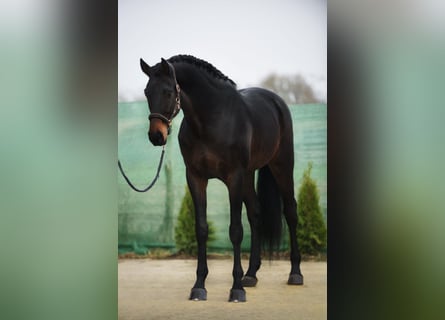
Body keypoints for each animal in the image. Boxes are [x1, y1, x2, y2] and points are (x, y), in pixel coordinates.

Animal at [140, 55, 304, 302]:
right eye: (147, 92)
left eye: (168, 92)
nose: (156, 136)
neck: (211, 119)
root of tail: (276, 101)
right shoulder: (196, 177)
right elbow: (201, 229)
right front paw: (199, 286)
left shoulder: (234, 177)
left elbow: (235, 230)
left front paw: (236, 289)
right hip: (249, 175)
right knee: (256, 213)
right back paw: (251, 274)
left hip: (281, 165)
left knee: (291, 212)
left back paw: (295, 273)